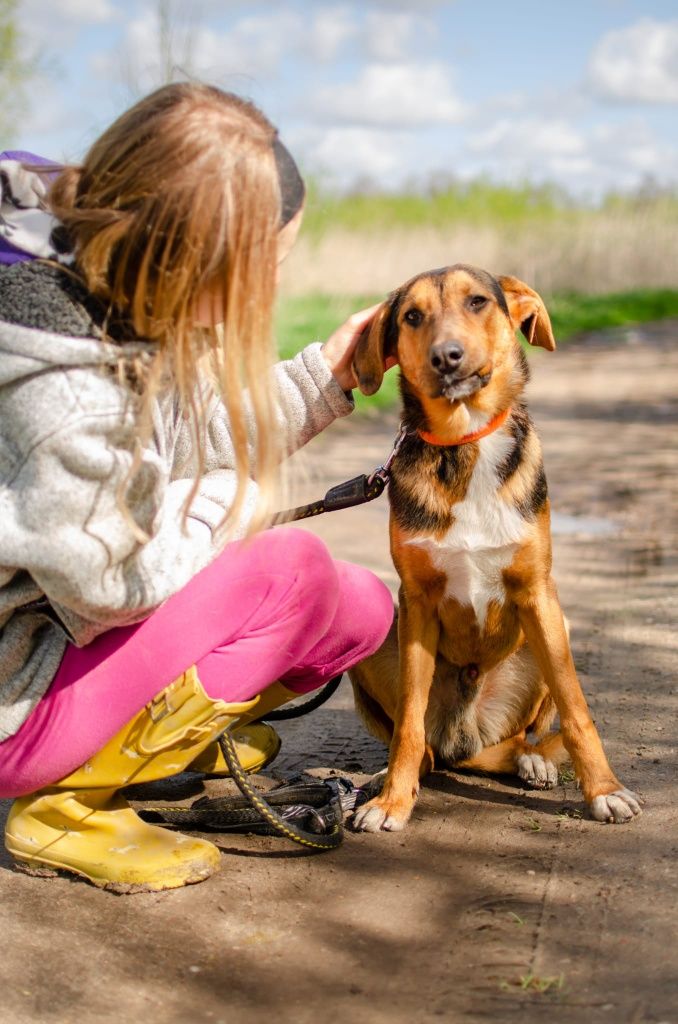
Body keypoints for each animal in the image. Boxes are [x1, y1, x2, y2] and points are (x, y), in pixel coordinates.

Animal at [350, 264, 643, 831]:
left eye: (478, 302)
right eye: (412, 316)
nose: (446, 356)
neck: (465, 443)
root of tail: (465, 738)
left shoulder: (537, 592)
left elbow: (577, 712)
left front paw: (605, 791)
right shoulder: (416, 602)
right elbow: (408, 724)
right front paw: (394, 799)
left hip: (553, 631)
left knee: (522, 739)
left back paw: (532, 761)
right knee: (426, 746)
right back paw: (390, 776)